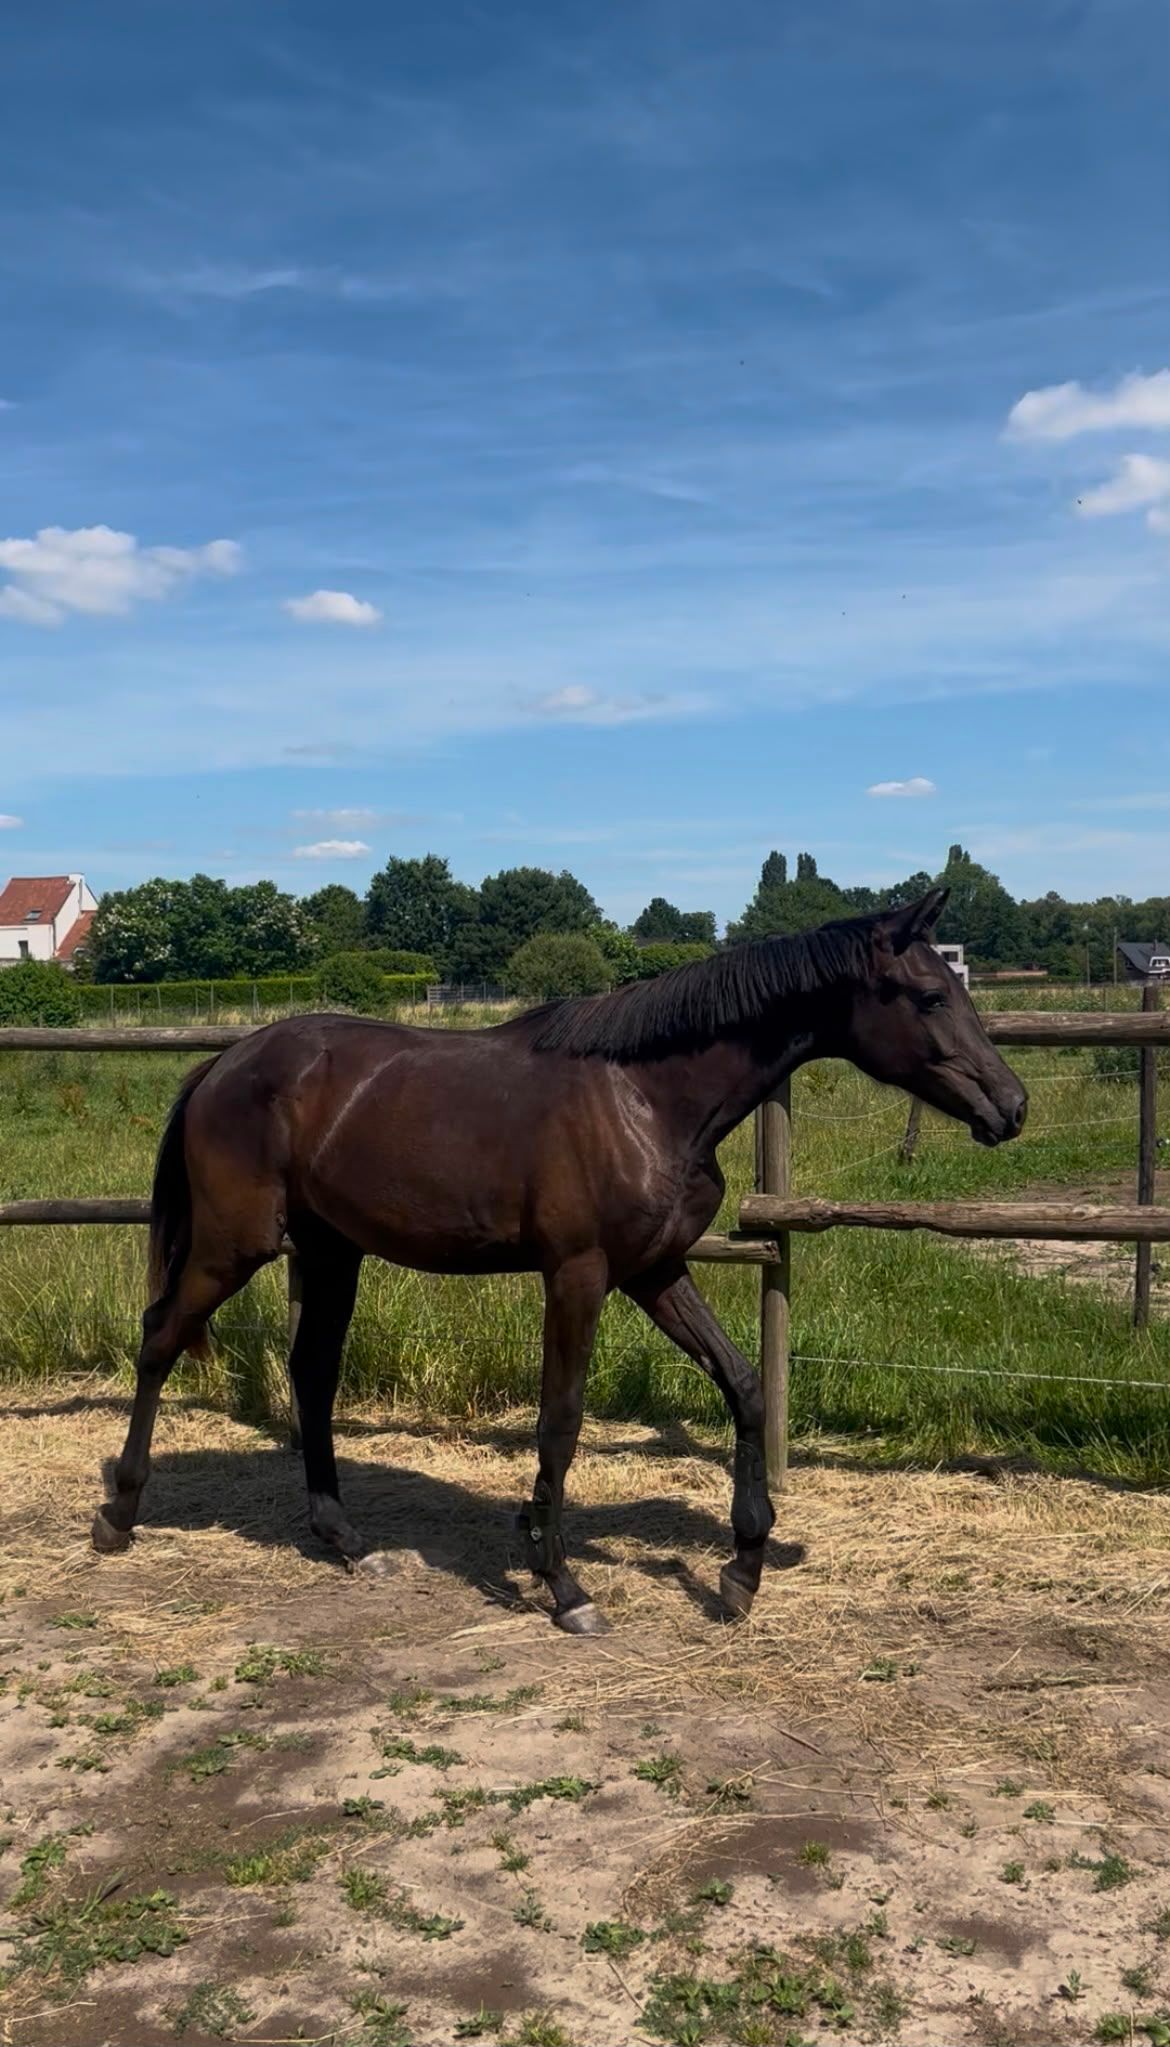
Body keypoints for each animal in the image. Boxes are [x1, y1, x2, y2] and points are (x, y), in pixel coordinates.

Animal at [91, 888, 1026, 1632]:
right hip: (233, 1246)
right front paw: (564, 1583)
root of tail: (223, 1062)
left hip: (329, 1252)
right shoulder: (577, 1275)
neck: (646, 1096)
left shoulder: (655, 1271)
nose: (1011, 1105)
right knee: (158, 1339)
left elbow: (745, 1385)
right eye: (929, 993)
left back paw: (347, 1538)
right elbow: (562, 1420)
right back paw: (119, 1514)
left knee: (311, 1373)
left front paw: (741, 1568)